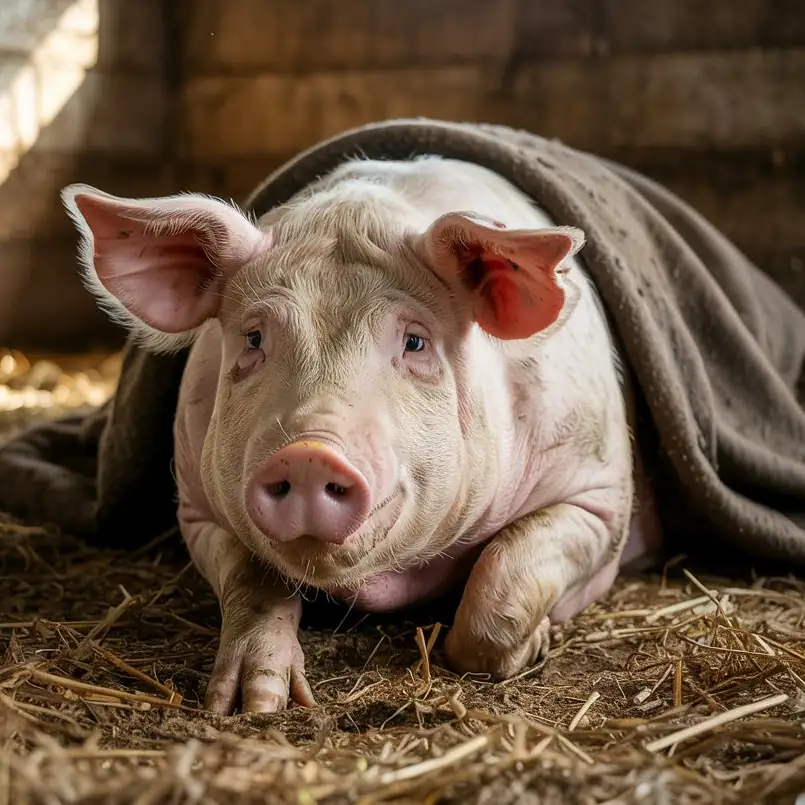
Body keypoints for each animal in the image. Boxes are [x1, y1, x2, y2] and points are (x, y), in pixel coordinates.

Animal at [61, 156, 662, 715]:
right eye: (253, 338)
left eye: (415, 342)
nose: (308, 455)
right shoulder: (196, 507)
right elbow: (255, 581)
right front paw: (252, 705)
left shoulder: (601, 493)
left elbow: (502, 582)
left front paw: (536, 644)